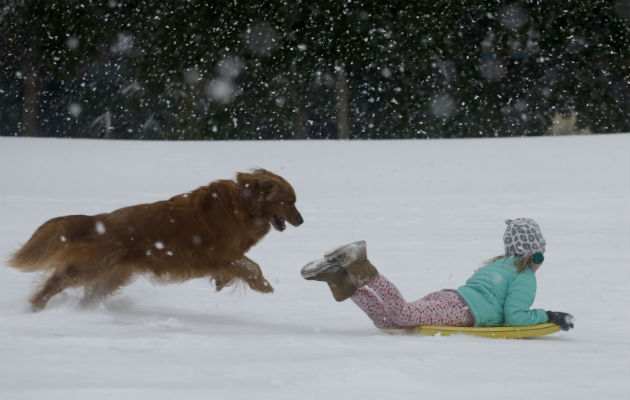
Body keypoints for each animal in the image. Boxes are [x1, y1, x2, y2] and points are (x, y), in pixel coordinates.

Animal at [8, 167, 304, 310]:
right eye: (288, 202)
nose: (301, 221)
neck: (243, 204)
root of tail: (99, 220)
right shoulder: (219, 254)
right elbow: (250, 266)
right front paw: (263, 285)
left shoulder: (225, 256)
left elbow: (242, 266)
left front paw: (223, 281)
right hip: (90, 268)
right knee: (56, 280)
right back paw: (35, 307)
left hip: (112, 276)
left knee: (87, 295)